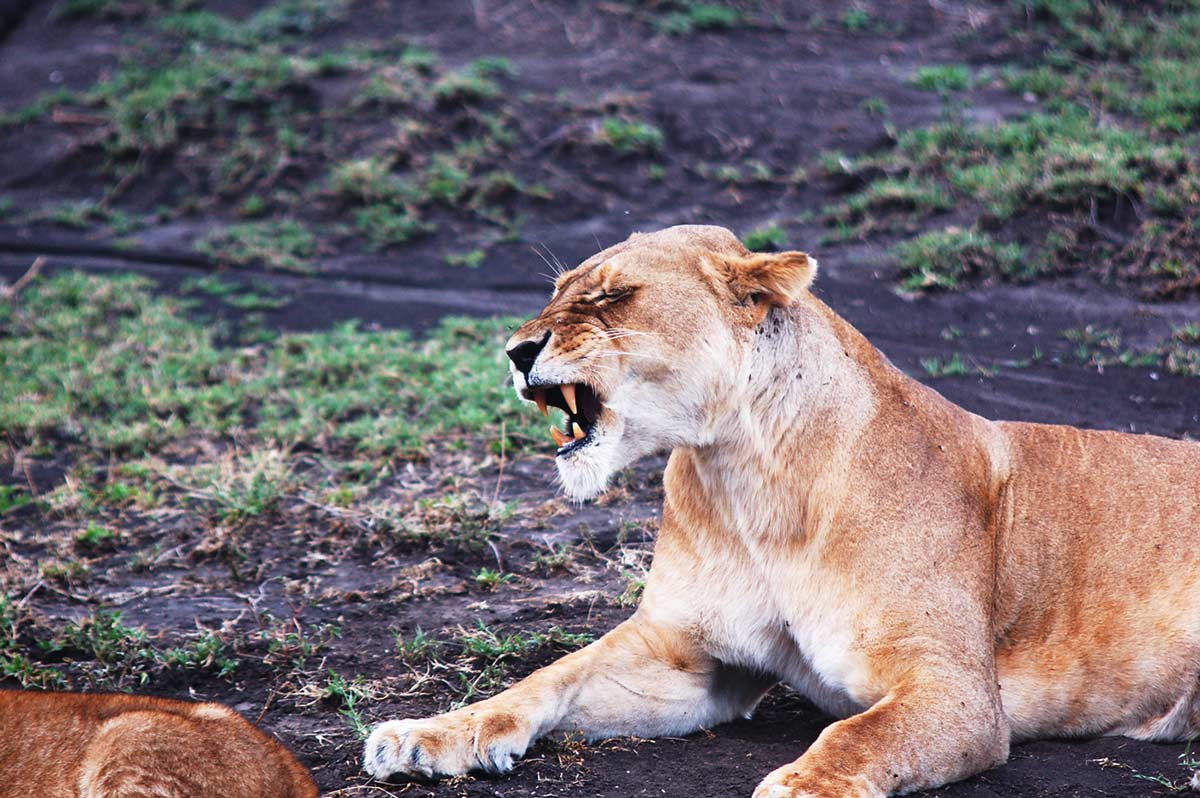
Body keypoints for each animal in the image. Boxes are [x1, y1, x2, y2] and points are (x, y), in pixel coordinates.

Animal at [364, 225, 1200, 797]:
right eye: (558, 289)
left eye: (610, 296)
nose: (515, 352)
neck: (746, 480)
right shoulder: (686, 656)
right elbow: (545, 678)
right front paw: (426, 735)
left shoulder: (957, 688)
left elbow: (858, 734)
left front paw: (802, 785)